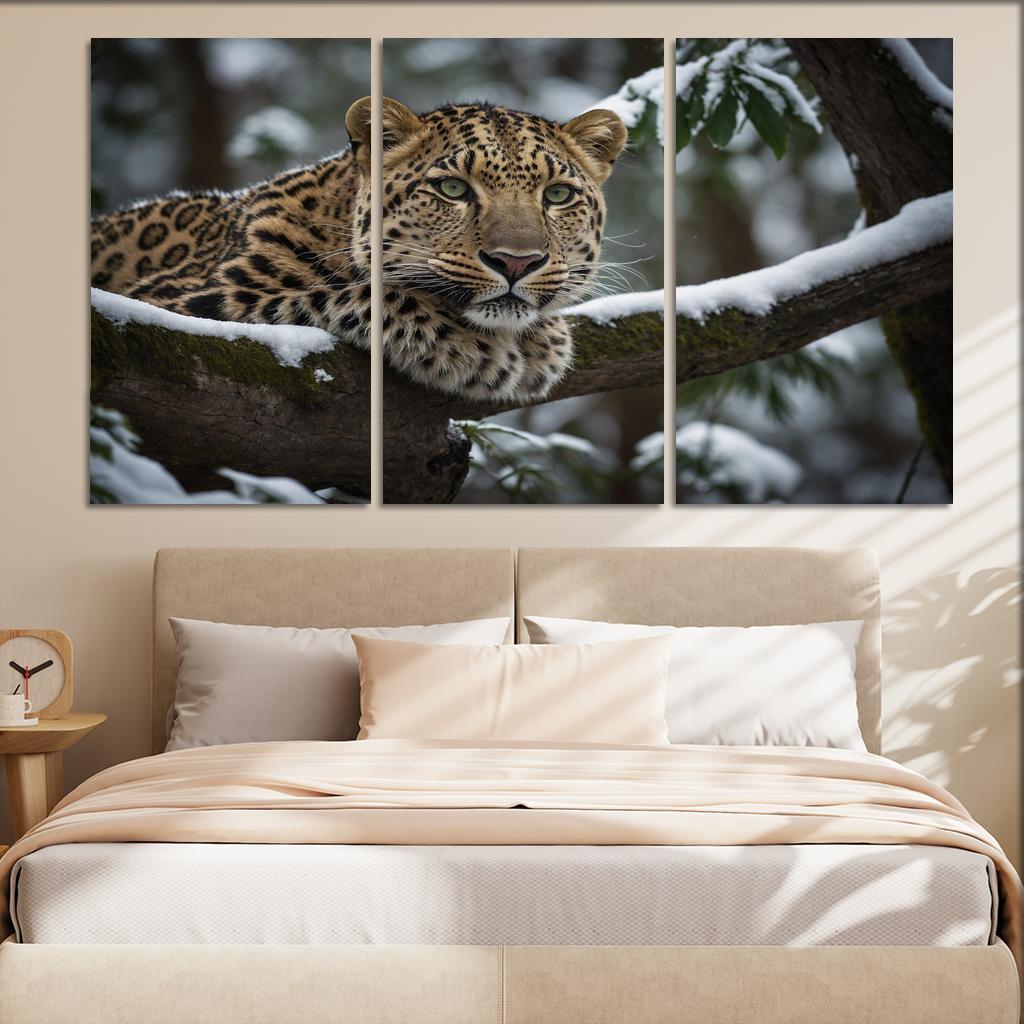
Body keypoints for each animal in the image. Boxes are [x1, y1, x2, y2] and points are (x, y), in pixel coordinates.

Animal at [90, 97, 627, 403]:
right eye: (453, 189)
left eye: (557, 195)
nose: (517, 262)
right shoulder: (177, 302)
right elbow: (352, 292)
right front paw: (473, 346)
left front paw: (543, 339)